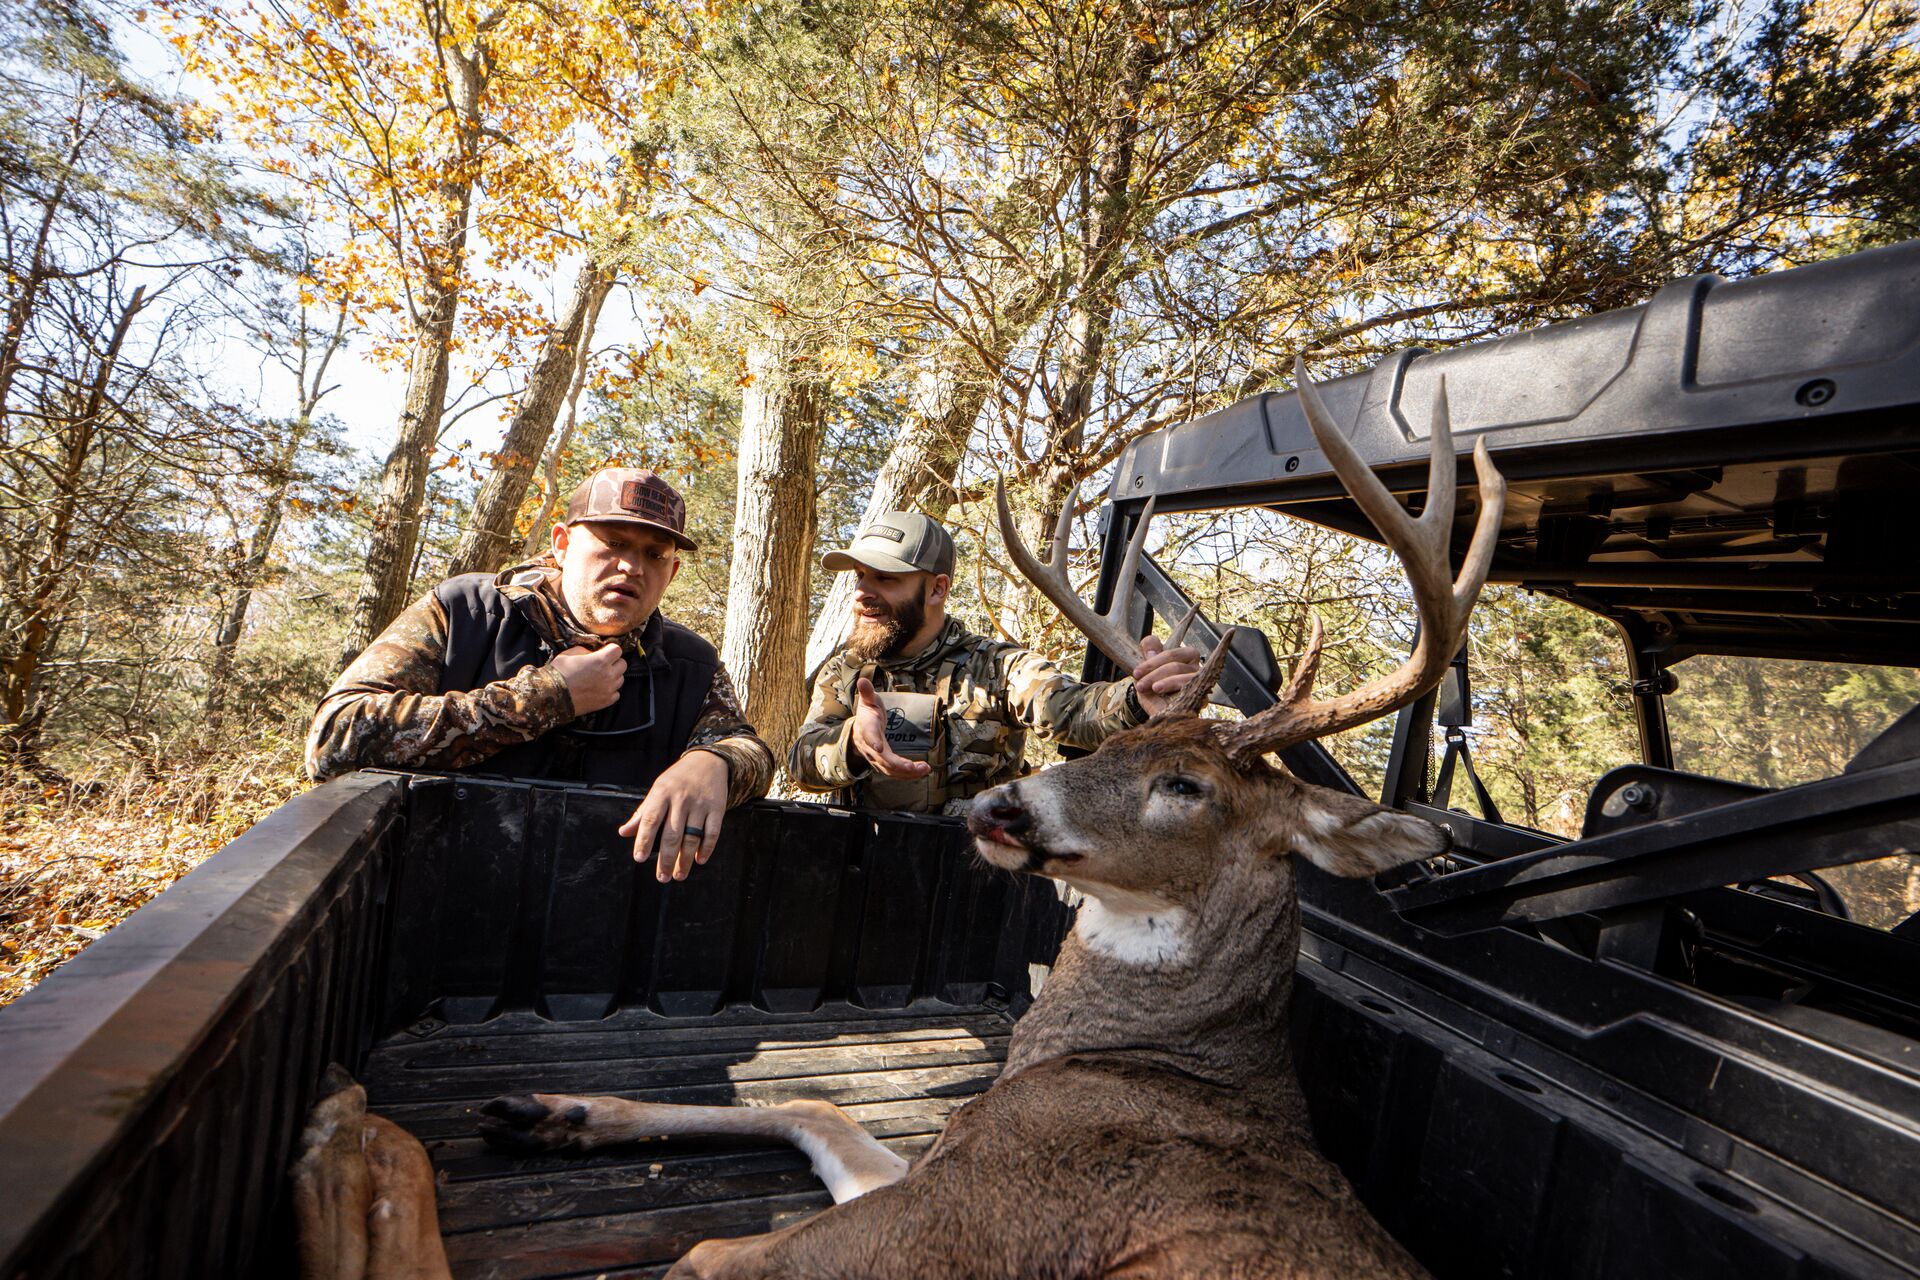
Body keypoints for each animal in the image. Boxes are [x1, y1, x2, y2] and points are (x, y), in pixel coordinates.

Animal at [295, 356, 1505, 1279]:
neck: (1151, 1061)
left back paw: (352, 1137)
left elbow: (699, 1253)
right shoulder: (933, 1177)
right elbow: (820, 1106)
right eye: (1108, 749)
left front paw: (363, 1139)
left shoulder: (958, 1218)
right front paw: (552, 1108)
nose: (1001, 802)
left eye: (1189, 787)